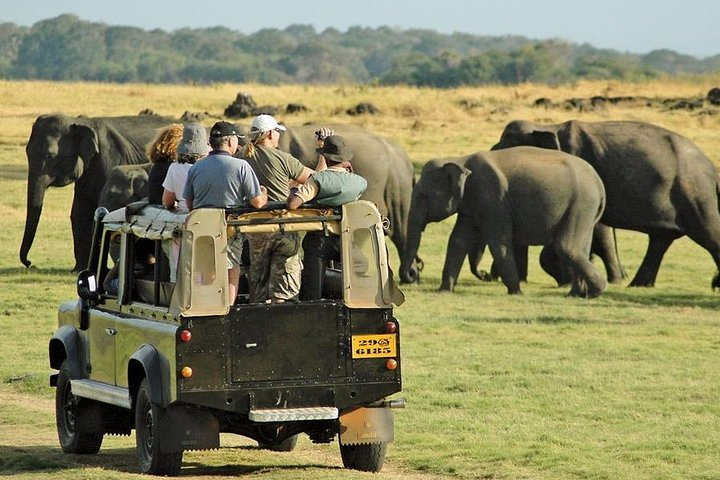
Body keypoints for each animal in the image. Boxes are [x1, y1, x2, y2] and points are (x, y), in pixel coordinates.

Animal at [20, 114, 176, 271]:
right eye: (27, 152)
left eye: (50, 156)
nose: (30, 263)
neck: (80, 122)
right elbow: (80, 211)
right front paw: (79, 269)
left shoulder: (110, 158)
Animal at [399, 146, 607, 297]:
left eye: (424, 196)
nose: (413, 274)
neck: (461, 160)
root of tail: (599, 183)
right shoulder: (470, 204)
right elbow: (457, 241)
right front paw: (443, 291)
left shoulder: (493, 197)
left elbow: (498, 242)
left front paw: (516, 292)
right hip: (586, 210)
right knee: (582, 248)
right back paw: (576, 294)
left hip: (581, 203)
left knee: (566, 246)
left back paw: (598, 290)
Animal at [492, 119, 720, 288]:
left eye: (506, 146)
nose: (488, 276)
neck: (549, 126)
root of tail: (711, 167)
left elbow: (598, 229)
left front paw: (568, 279)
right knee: (660, 240)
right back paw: (637, 284)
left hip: (695, 194)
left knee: (708, 233)